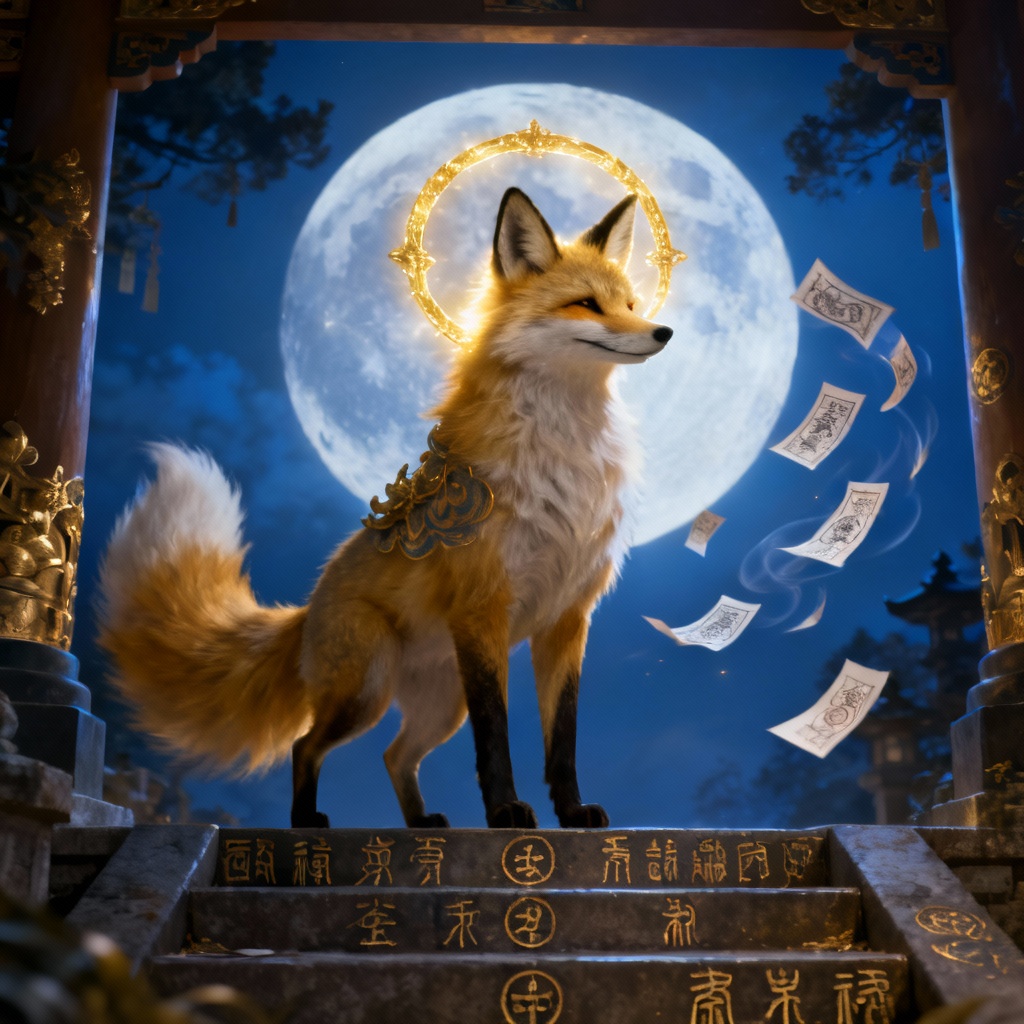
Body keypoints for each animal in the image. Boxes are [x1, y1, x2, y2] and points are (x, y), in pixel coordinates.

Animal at [97, 186, 672, 830]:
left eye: (630, 304)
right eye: (586, 305)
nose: (664, 331)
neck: (566, 460)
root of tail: (306, 610)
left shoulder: (568, 619)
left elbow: (562, 739)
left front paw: (571, 813)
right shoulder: (483, 609)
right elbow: (495, 739)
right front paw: (505, 811)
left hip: (440, 706)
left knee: (394, 755)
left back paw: (420, 822)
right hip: (367, 692)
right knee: (306, 744)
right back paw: (306, 823)